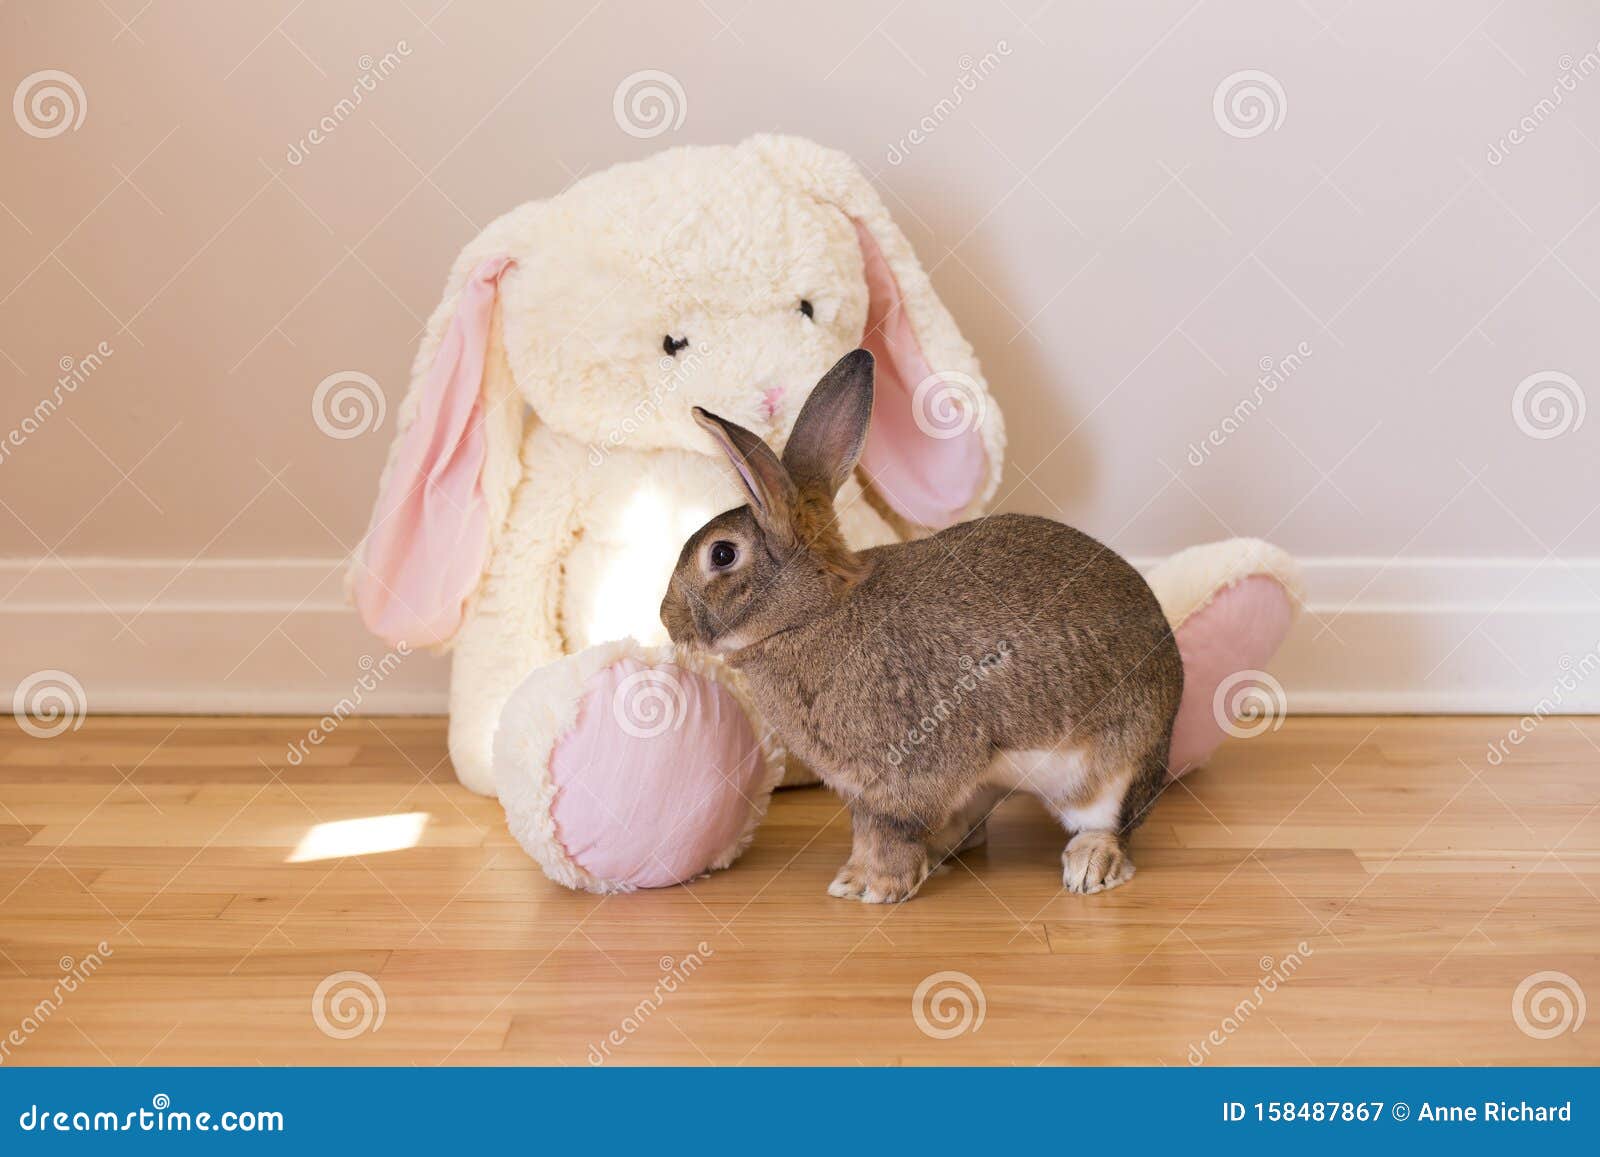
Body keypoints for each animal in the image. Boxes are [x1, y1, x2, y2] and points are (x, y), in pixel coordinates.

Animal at [656, 353, 1184, 902]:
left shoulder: (910, 771)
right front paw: (853, 879)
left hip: (1115, 767)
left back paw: (1088, 865)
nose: (665, 619)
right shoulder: (865, 791)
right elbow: (867, 831)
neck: (813, 614)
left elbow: (892, 831)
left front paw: (878, 888)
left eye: (722, 554)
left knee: (1109, 823)